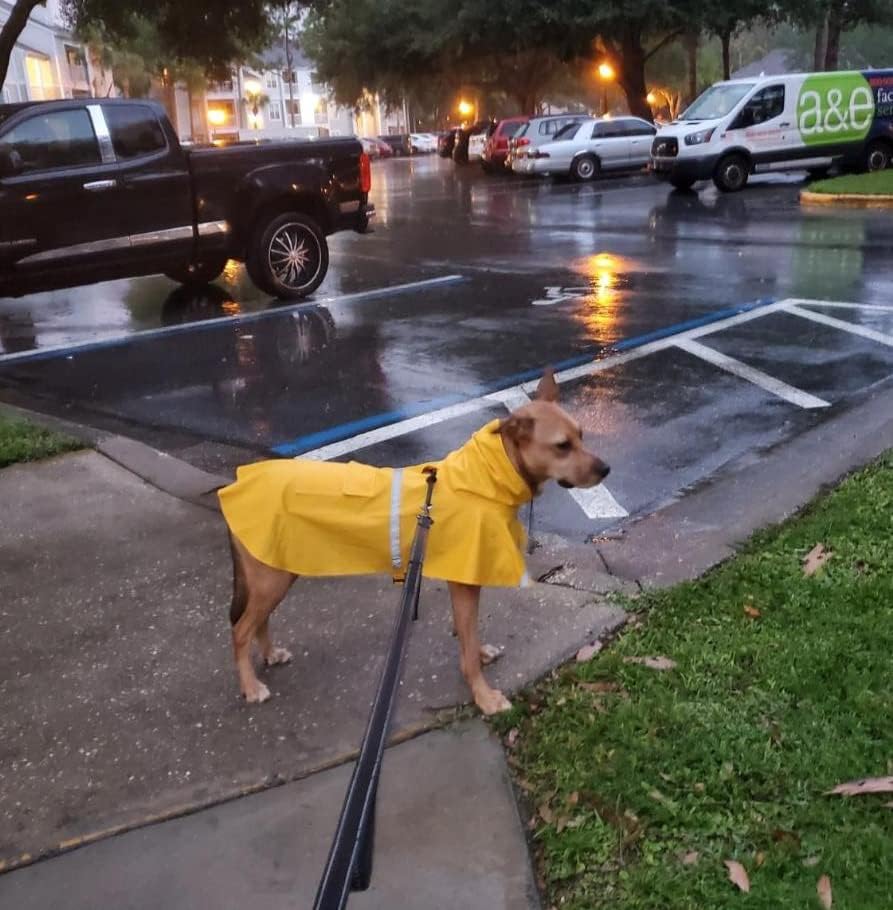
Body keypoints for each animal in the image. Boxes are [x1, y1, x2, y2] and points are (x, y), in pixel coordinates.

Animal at [218, 366, 608, 716]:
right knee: (240, 630)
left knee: (259, 621)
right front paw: (483, 696)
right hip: (271, 577)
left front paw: (479, 654)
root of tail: (237, 484)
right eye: (562, 446)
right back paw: (250, 686)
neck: (487, 474)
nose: (605, 470)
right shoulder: (465, 582)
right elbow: (467, 644)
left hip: (277, 570)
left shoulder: (462, 580)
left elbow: (468, 634)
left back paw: (270, 655)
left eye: (582, 434)